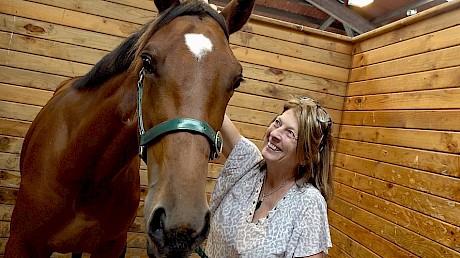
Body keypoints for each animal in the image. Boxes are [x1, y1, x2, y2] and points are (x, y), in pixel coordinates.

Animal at [4, 0, 255, 256]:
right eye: (147, 61)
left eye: (237, 80)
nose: (181, 223)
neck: (88, 176)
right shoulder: (21, 243)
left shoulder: (113, 247)